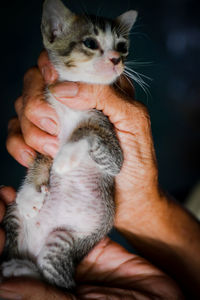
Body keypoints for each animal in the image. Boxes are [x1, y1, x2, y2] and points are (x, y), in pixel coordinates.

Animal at [0, 0, 137, 290]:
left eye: (122, 46)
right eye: (90, 42)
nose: (116, 59)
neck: (71, 107)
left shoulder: (113, 148)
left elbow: (86, 132)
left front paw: (65, 157)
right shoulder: (46, 125)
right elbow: (40, 156)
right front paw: (30, 193)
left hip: (64, 241)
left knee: (60, 284)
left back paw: (20, 268)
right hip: (15, 217)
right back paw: (15, 263)